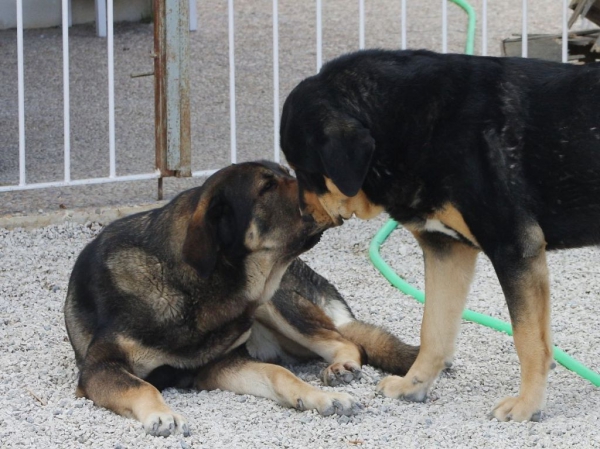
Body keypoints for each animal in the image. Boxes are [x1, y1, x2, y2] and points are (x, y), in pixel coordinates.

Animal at [62, 160, 418, 434]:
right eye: (266, 187)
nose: (331, 183)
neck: (196, 287)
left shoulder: (224, 363)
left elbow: (278, 373)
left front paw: (317, 397)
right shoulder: (100, 368)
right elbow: (142, 385)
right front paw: (162, 414)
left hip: (274, 306)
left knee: (344, 341)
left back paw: (342, 365)